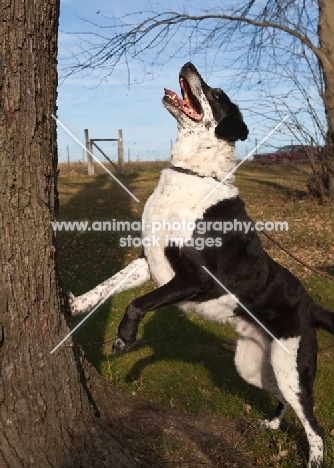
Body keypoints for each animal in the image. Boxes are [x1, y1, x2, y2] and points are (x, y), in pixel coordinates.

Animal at [68, 63, 334, 468]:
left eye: (217, 94)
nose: (189, 65)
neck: (192, 175)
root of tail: (310, 303)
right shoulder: (149, 261)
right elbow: (110, 286)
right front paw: (78, 304)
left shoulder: (195, 279)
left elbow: (137, 303)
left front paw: (124, 338)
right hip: (255, 366)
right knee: (285, 403)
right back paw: (270, 426)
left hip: (293, 367)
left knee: (314, 426)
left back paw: (313, 459)